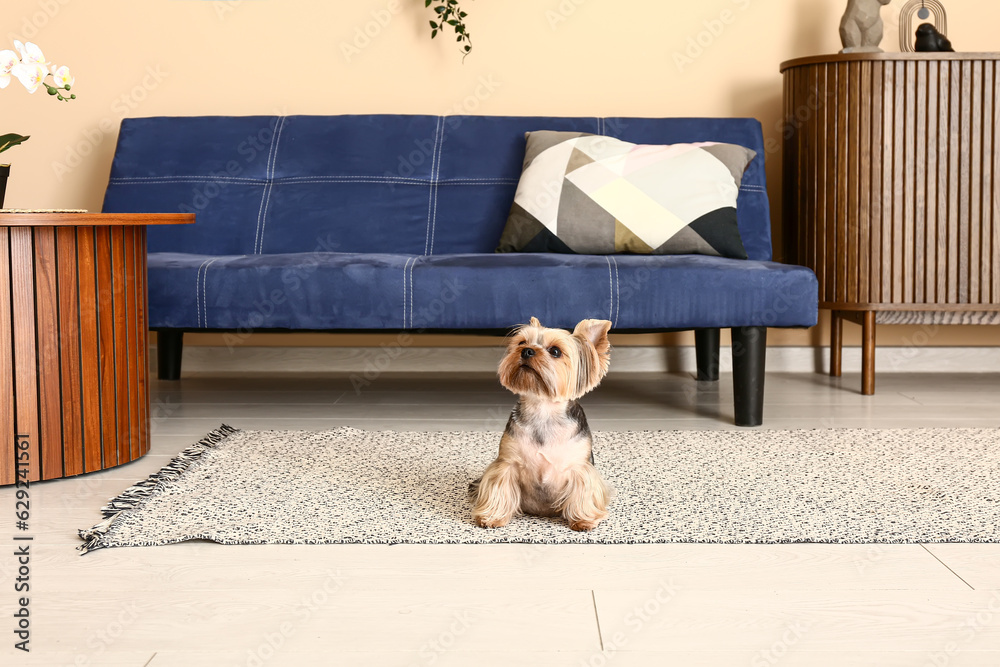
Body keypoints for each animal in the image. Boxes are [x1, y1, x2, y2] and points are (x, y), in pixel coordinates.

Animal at [472, 318, 612, 532]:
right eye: (522, 342)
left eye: (555, 351)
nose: (527, 351)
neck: (543, 409)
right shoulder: (507, 462)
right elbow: (499, 486)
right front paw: (492, 517)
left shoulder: (580, 466)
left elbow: (583, 491)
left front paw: (583, 520)